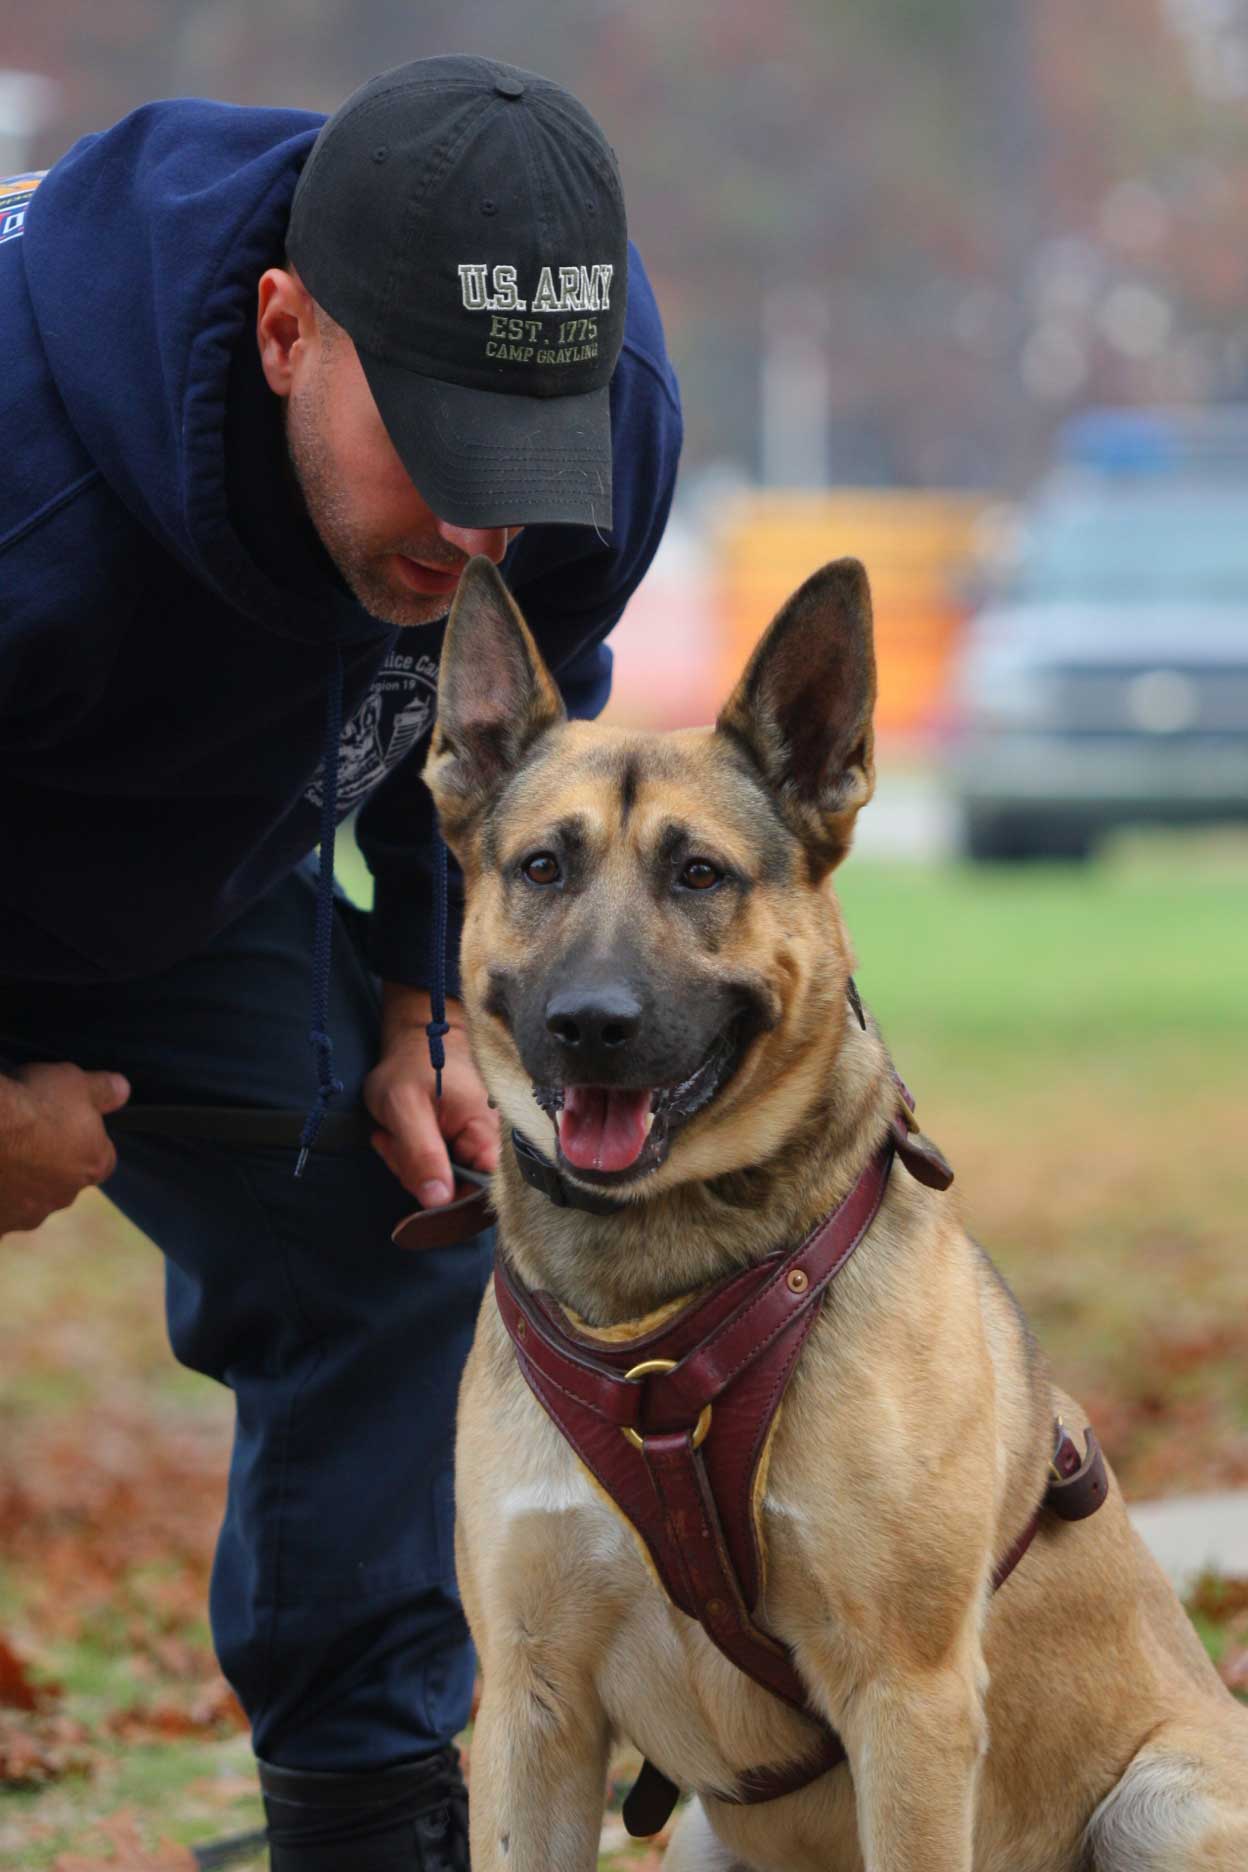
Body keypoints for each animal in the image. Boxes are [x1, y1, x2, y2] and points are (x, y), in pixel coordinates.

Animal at [424, 557, 1242, 1872]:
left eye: (699, 873)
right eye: (543, 868)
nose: (589, 1024)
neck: (660, 1300)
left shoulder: (908, 1697)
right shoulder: (533, 1706)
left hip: (1166, 1804)